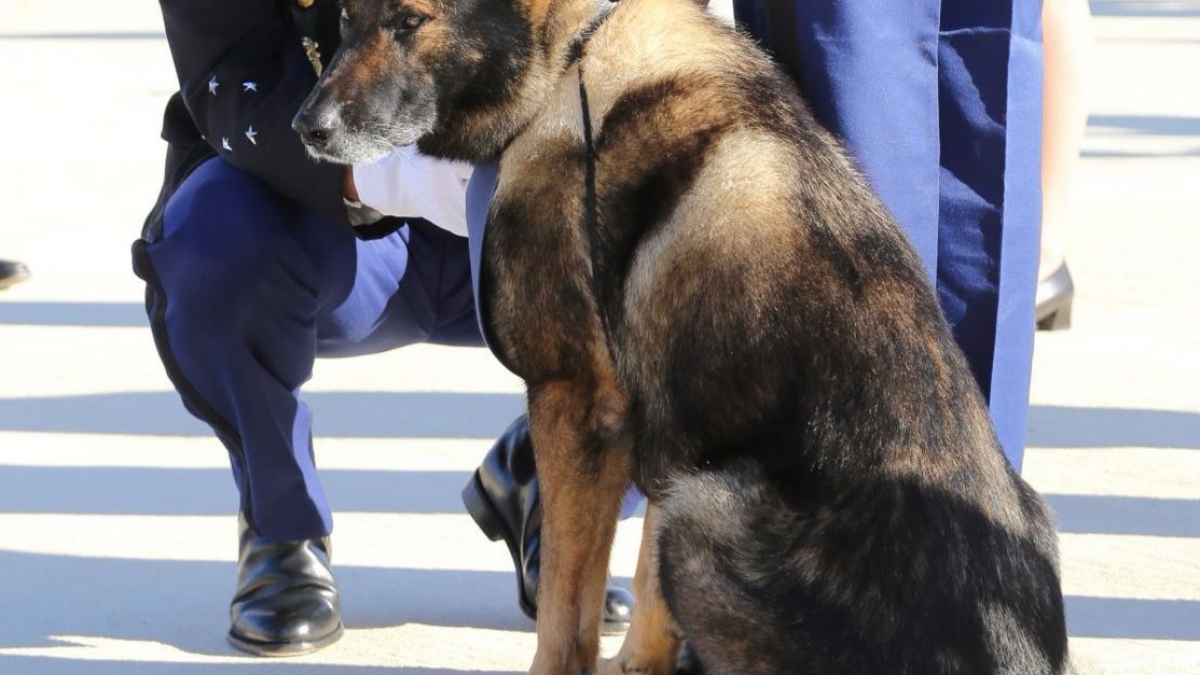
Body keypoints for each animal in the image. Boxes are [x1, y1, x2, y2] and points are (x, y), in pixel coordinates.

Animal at [295, 1, 1075, 672]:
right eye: (345, 16)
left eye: (410, 21)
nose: (307, 128)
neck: (576, 51)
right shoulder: (664, 426)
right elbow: (642, 584)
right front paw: (639, 664)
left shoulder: (578, 404)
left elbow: (565, 611)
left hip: (708, 511)